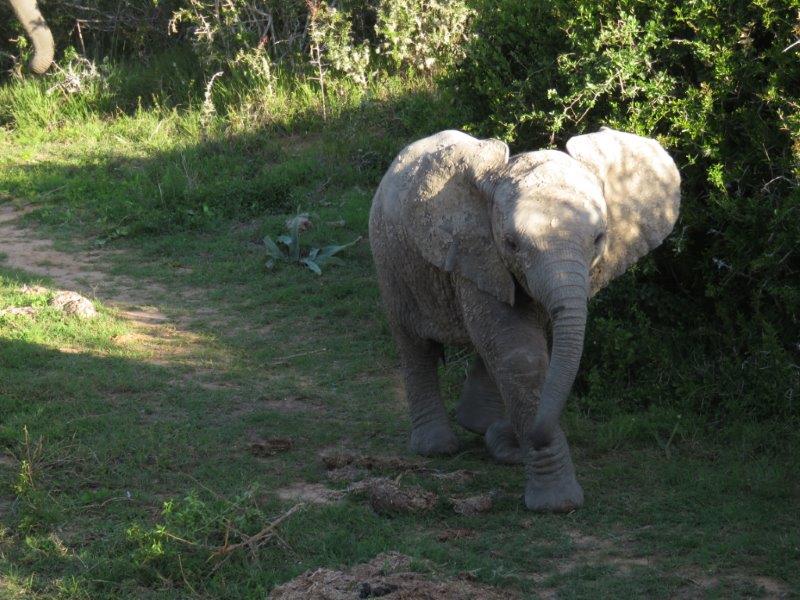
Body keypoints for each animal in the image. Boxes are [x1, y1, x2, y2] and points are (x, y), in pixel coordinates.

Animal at [370, 126, 680, 510]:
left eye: (598, 238)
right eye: (511, 243)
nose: (528, 438)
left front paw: (510, 443)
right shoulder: (477, 254)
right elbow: (521, 357)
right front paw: (556, 503)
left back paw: (479, 425)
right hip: (389, 260)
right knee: (415, 344)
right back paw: (438, 448)